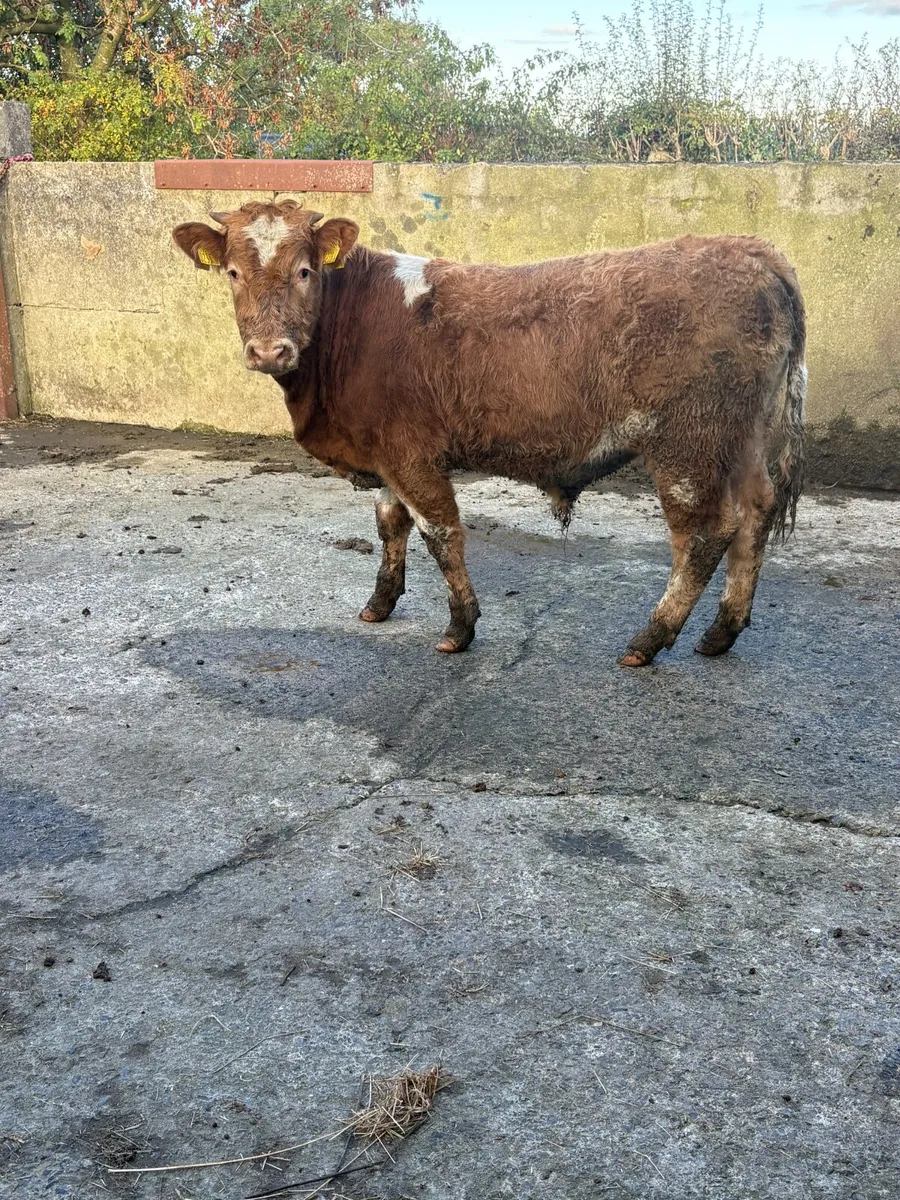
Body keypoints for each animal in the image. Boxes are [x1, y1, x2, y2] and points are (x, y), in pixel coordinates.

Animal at [172, 200, 806, 667]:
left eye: (305, 271)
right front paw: (380, 603)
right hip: (744, 440)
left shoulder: (412, 455)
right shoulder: (383, 456)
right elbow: (390, 525)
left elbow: (440, 533)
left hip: (686, 448)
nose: (268, 350)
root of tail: (755, 250)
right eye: (232, 273)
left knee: (705, 534)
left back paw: (649, 640)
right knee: (756, 513)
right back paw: (721, 632)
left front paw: (460, 626)